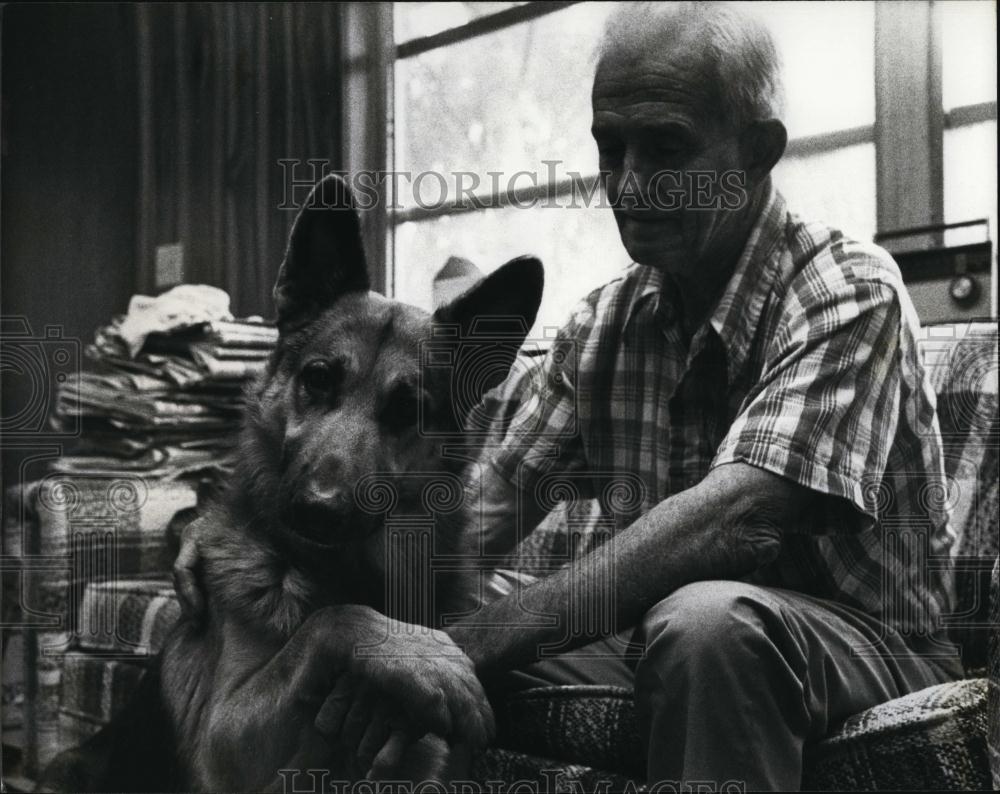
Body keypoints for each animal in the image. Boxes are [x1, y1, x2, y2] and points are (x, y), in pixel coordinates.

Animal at [39, 176, 544, 788]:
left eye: (407, 411)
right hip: (68, 767)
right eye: (318, 379)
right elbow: (330, 621)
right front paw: (421, 657)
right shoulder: (225, 738)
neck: (352, 574)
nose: (317, 510)